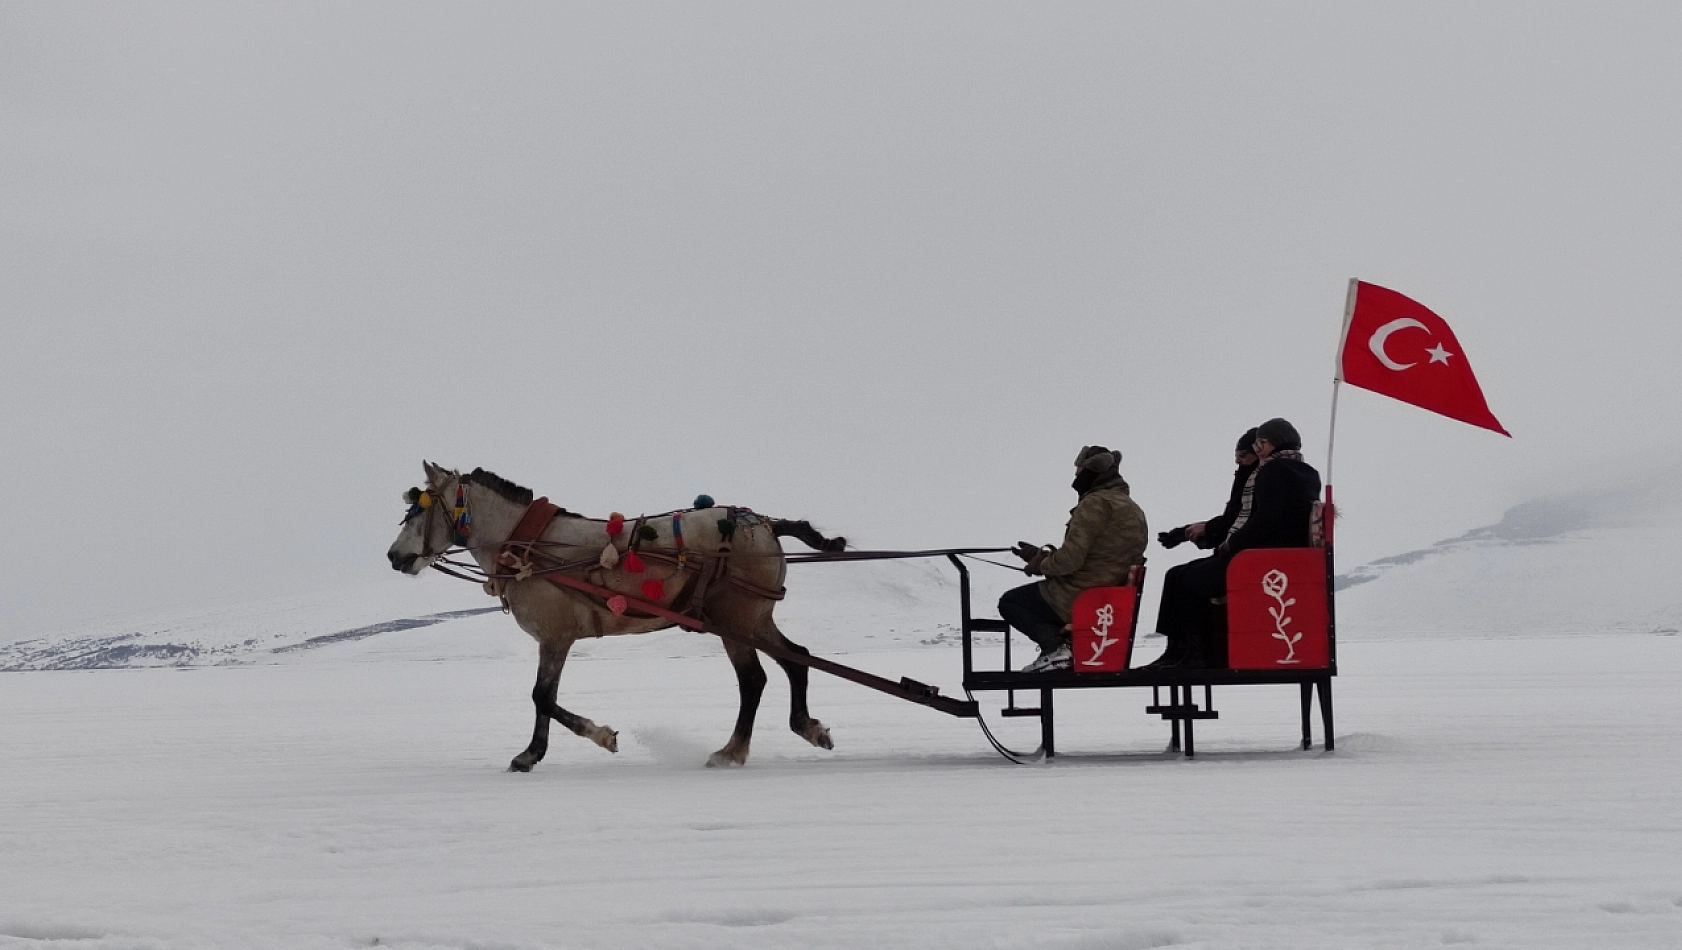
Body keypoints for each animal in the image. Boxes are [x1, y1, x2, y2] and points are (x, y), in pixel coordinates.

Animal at [386, 460, 847, 770]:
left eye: (419, 510)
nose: (393, 555)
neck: (528, 547)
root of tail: (765, 524)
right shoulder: (553, 640)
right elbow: (545, 697)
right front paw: (532, 754)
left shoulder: (556, 636)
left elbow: (542, 696)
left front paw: (599, 737)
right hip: (754, 619)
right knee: (796, 660)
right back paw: (808, 727)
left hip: (734, 621)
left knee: (754, 680)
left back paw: (731, 752)